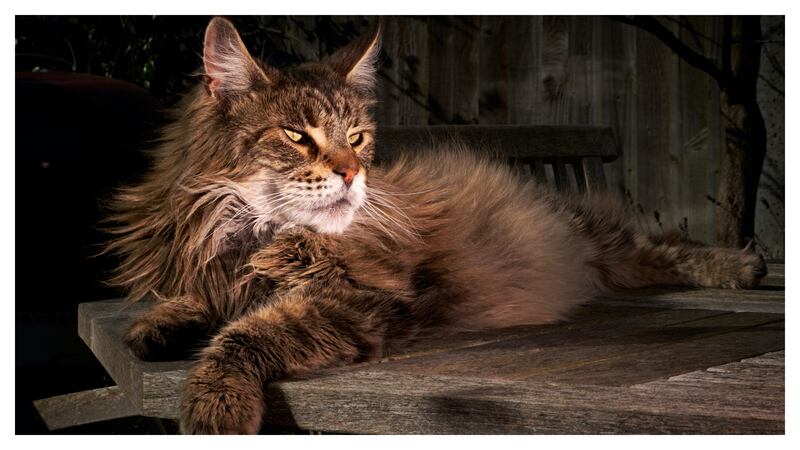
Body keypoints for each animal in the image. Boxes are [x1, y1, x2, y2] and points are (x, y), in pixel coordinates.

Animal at [104, 16, 768, 432]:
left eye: (357, 137)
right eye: (296, 135)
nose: (352, 173)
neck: (253, 239)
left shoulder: (366, 301)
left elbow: (247, 335)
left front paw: (213, 405)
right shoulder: (217, 273)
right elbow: (193, 304)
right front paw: (161, 326)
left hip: (595, 235)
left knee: (660, 245)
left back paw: (743, 266)